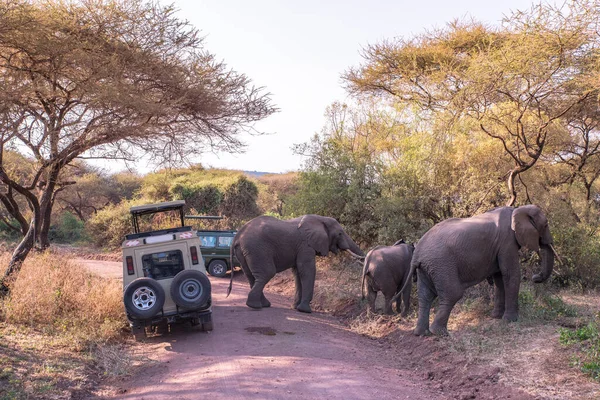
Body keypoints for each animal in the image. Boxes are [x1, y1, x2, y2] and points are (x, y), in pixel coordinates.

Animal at [227, 214, 364, 314]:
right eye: (340, 233)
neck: (321, 219)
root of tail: (238, 235)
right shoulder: (305, 245)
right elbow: (307, 270)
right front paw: (305, 310)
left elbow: (298, 272)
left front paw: (295, 307)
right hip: (257, 249)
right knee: (267, 273)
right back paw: (255, 306)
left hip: (245, 252)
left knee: (251, 276)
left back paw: (263, 304)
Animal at [406, 205, 556, 336]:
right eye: (546, 225)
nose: (535, 277)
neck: (518, 209)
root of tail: (417, 254)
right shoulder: (507, 242)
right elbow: (510, 274)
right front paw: (510, 320)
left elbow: (499, 279)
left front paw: (496, 317)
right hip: (441, 265)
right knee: (453, 294)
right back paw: (440, 333)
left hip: (426, 268)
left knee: (425, 297)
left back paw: (422, 333)